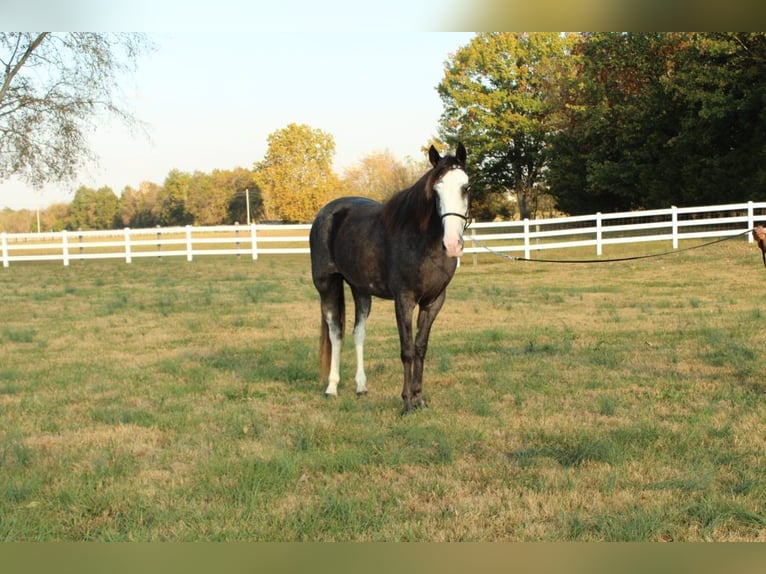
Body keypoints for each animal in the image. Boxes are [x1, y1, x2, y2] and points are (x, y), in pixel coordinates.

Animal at [310, 144, 468, 414]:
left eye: (465, 187)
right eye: (435, 191)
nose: (452, 244)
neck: (422, 240)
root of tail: (327, 212)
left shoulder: (433, 301)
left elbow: (420, 348)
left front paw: (419, 399)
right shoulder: (403, 299)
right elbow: (407, 350)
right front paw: (406, 403)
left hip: (361, 290)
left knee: (358, 333)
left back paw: (361, 387)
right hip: (327, 285)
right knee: (336, 333)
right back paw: (331, 388)